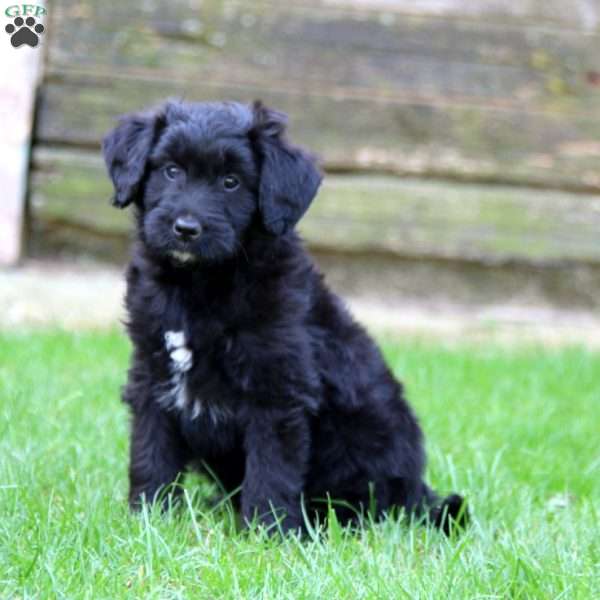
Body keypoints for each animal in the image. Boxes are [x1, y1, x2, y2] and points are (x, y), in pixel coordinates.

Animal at [102, 99, 468, 536]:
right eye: (171, 170)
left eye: (231, 182)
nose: (186, 228)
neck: (201, 283)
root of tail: (416, 492)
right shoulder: (152, 373)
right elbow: (151, 452)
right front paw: (147, 519)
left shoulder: (277, 390)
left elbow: (271, 468)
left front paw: (267, 534)